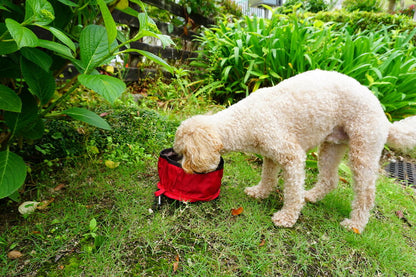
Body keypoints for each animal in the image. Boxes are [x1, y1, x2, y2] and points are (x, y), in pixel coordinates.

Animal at [173, 69, 416, 231]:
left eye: (185, 154)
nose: (184, 170)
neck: (244, 120)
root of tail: (385, 117)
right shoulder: (270, 155)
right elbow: (268, 176)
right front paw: (260, 192)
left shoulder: (291, 156)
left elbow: (292, 192)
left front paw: (287, 217)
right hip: (331, 146)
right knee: (330, 179)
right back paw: (312, 196)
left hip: (363, 149)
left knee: (366, 193)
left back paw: (355, 224)